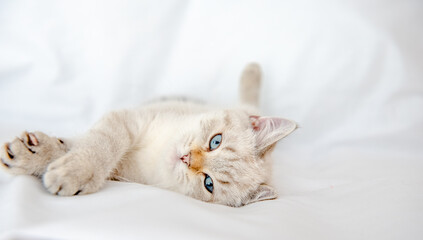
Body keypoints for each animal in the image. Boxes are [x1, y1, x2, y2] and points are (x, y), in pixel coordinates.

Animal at [0, 63, 298, 206]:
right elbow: (97, 142)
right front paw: (39, 156)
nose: (187, 159)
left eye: (209, 183)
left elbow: (85, 146)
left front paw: (69, 171)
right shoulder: (128, 119)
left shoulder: (121, 172)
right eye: (216, 141)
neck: (158, 153)